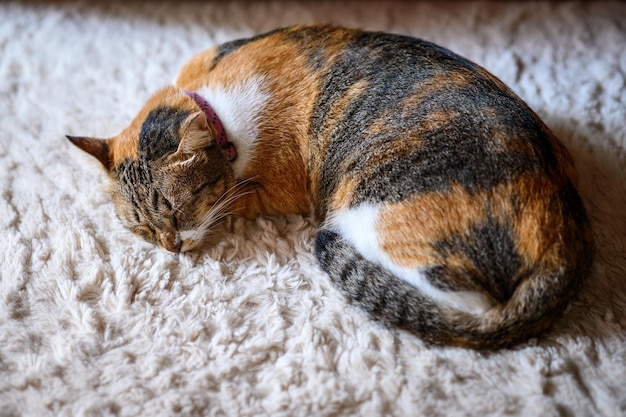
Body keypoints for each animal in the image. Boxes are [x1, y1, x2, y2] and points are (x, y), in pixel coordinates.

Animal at [67, 25, 588, 348]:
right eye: (141, 229)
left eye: (178, 210)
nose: (171, 247)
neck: (210, 102)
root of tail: (567, 244)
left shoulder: (272, 190)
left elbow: (236, 199)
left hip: (368, 209)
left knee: (468, 307)